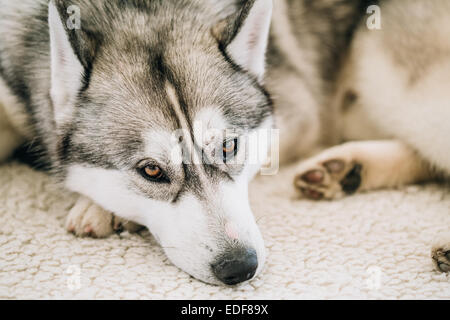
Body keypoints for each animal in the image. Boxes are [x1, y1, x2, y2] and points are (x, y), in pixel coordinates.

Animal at [0, 0, 448, 284]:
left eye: (230, 147)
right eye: (151, 170)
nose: (240, 268)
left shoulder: (300, 108)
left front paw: (101, 207)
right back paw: (347, 170)